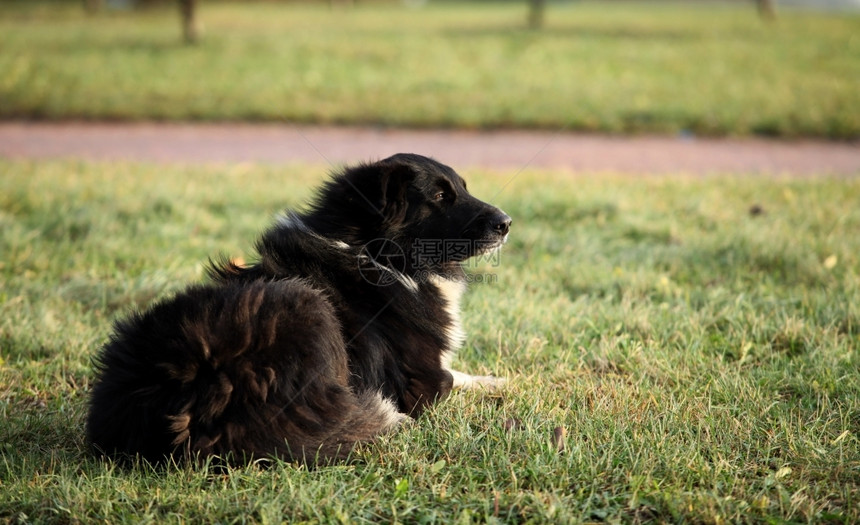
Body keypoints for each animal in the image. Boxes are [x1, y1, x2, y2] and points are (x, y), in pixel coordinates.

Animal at [87, 152, 510, 462]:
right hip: (307, 303)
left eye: (463, 188)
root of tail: (195, 388)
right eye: (439, 197)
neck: (376, 254)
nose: (506, 223)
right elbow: (451, 377)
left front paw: (498, 380)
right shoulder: (421, 381)